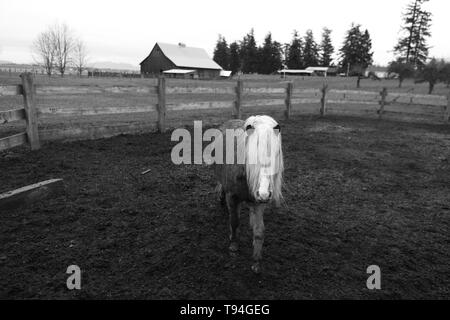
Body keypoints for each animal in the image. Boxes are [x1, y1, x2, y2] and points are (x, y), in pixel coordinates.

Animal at [215, 115, 284, 272]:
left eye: (276, 154)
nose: (264, 194)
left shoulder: (259, 203)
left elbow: (259, 231)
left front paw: (256, 261)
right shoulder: (232, 197)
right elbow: (234, 221)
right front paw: (233, 246)